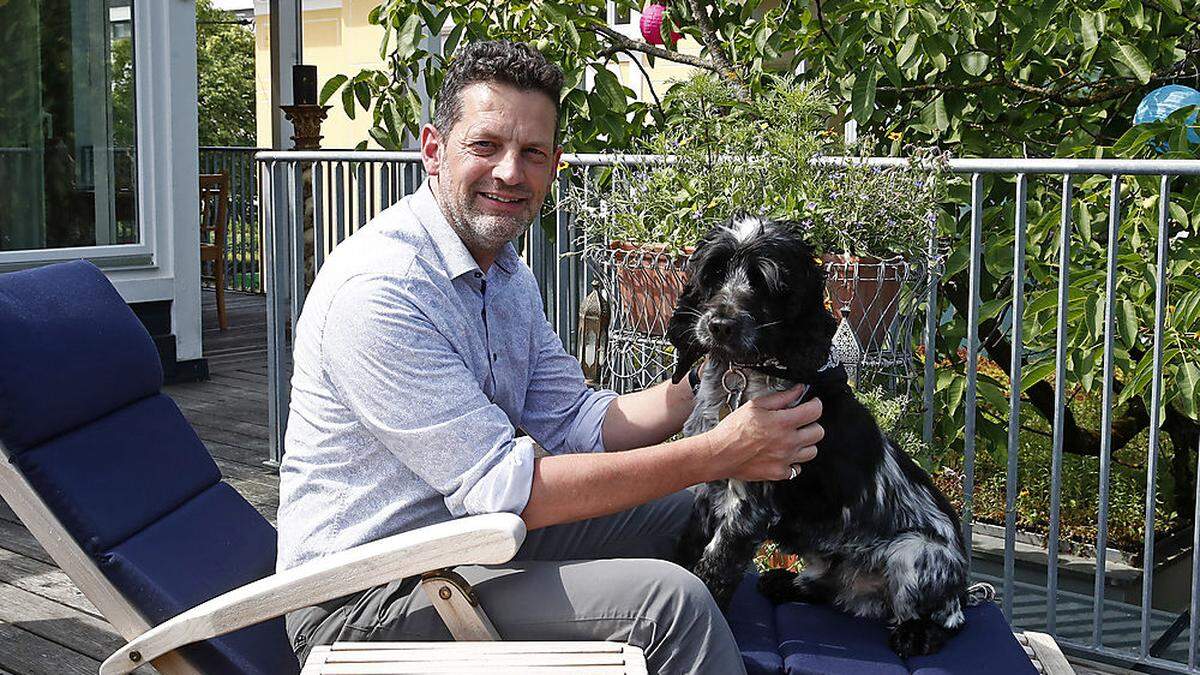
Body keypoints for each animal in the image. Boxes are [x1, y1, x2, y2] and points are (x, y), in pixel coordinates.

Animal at [667, 213, 984, 653]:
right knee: (830, 588)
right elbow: (688, 545)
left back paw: (913, 634)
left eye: (764, 282)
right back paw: (788, 583)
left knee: (946, 621)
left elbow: (716, 565)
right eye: (713, 274)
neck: (747, 372)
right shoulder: (708, 487)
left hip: (914, 553)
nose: (720, 325)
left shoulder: (749, 505)